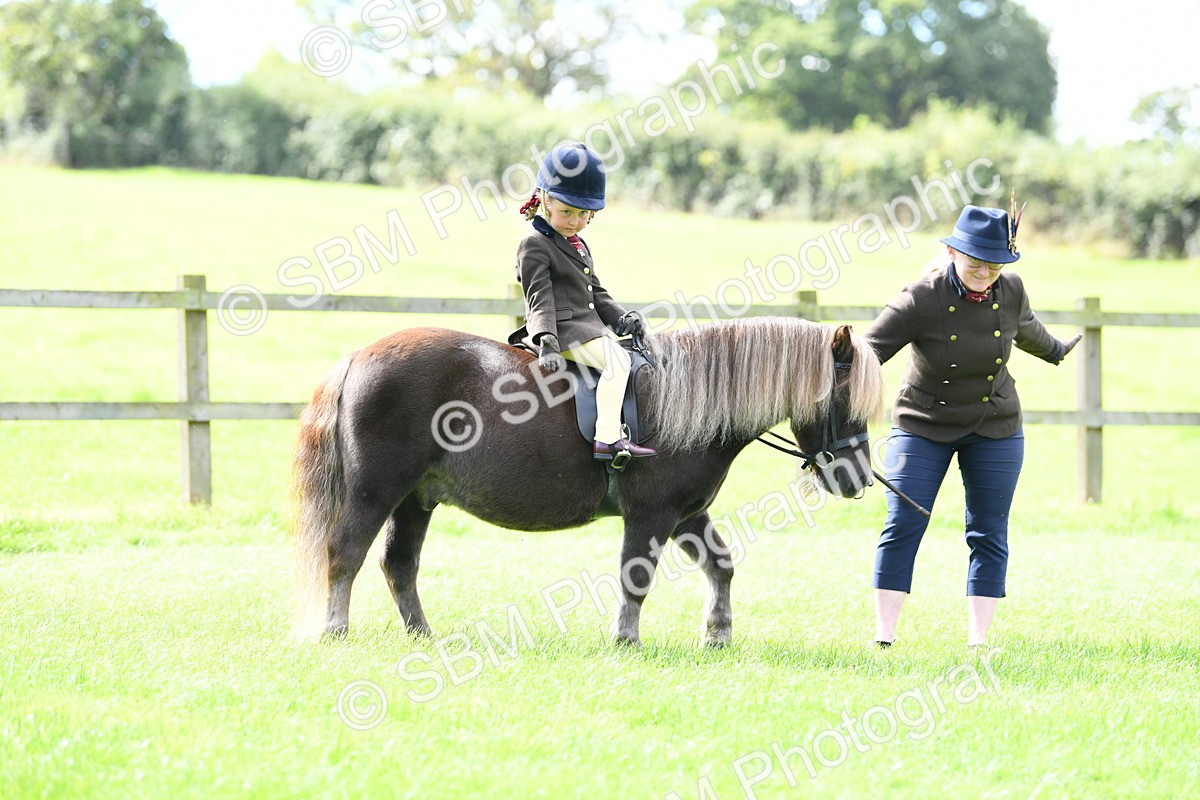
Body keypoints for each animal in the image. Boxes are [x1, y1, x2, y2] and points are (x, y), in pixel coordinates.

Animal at [291, 317, 885, 647]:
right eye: (844, 400)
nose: (857, 479)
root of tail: (358, 358)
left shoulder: (688, 515)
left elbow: (721, 566)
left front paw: (718, 634)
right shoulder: (652, 515)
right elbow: (635, 577)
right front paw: (626, 638)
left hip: (416, 499)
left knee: (399, 565)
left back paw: (422, 636)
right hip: (376, 491)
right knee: (344, 552)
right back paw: (335, 630)